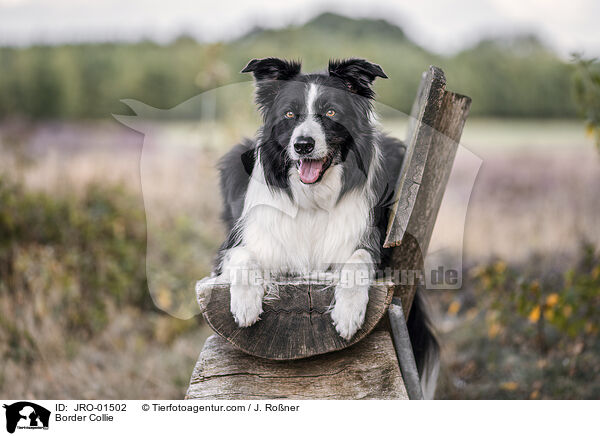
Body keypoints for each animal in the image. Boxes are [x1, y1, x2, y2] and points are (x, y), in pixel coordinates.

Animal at [216, 58, 440, 398]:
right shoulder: (236, 247)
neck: (313, 201)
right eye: (290, 114)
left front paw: (348, 313)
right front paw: (244, 304)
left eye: (331, 112)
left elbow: (358, 260)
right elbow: (243, 257)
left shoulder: (376, 248)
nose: (303, 145)